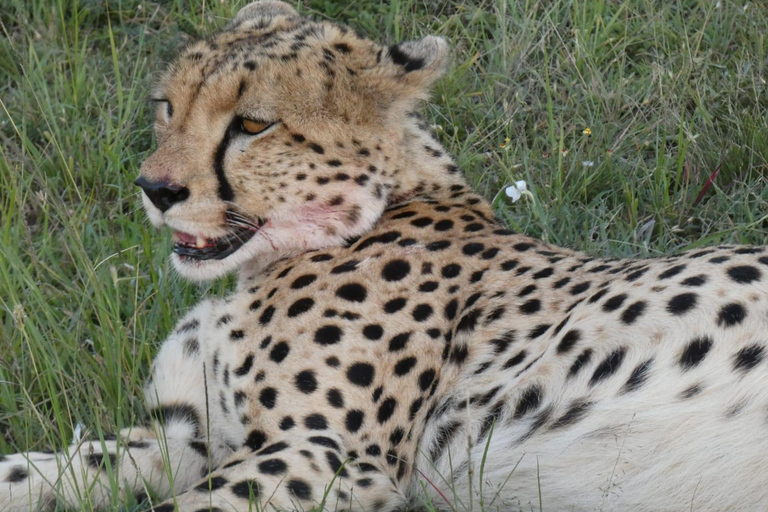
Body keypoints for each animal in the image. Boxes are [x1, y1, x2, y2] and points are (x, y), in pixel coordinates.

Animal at [4, 2, 768, 510]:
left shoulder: (330, 457)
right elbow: (51, 468)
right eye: (168, 106)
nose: (156, 189)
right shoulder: (187, 435)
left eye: (252, 124)